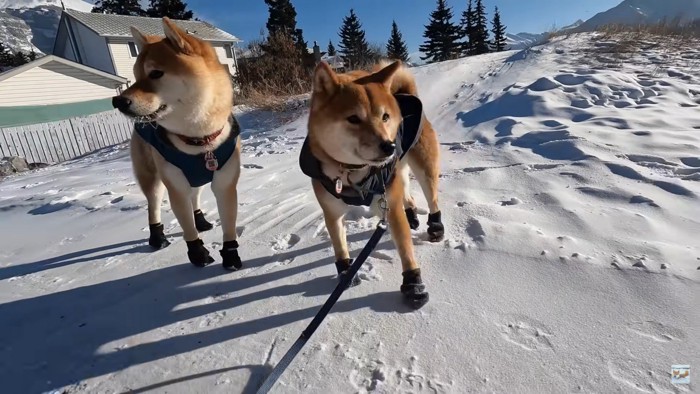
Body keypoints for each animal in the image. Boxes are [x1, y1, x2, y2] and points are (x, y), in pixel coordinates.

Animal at [109, 18, 241, 270]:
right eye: (135, 75)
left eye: (156, 73)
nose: (117, 101)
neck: (199, 139)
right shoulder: (175, 187)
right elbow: (187, 229)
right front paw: (198, 255)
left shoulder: (225, 183)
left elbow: (228, 225)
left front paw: (230, 256)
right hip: (153, 179)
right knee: (153, 206)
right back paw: (157, 237)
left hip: (195, 179)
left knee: (195, 196)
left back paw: (201, 220)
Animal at [300, 60, 442, 308]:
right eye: (353, 118)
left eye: (384, 116)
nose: (389, 146)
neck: (351, 172)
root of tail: (405, 92)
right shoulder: (332, 212)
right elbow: (339, 246)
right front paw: (346, 274)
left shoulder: (389, 206)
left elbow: (405, 250)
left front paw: (414, 285)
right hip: (398, 170)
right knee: (408, 194)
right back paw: (412, 215)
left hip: (423, 167)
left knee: (431, 197)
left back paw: (435, 227)